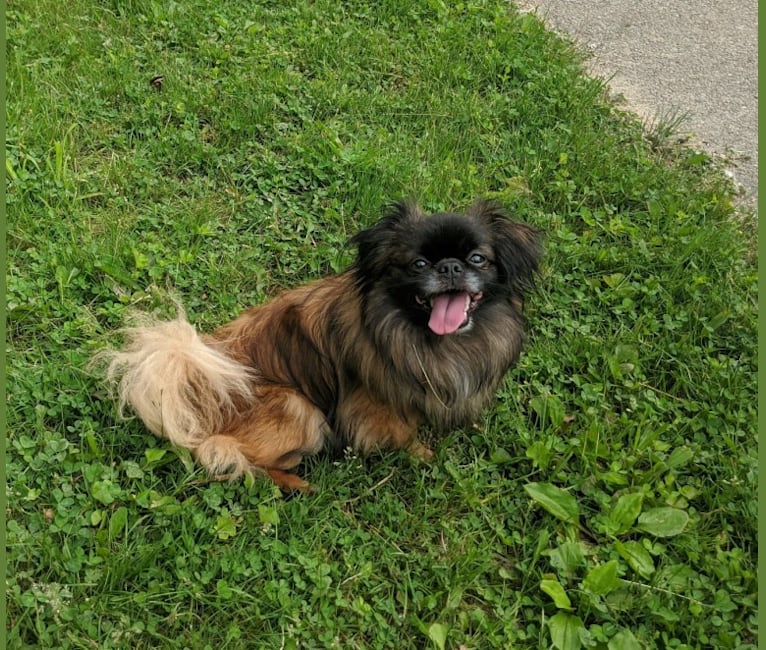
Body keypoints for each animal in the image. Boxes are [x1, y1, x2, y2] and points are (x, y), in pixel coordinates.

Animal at [102, 200, 544, 488]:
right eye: (418, 264)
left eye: (477, 259)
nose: (450, 267)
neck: (428, 337)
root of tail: (200, 392)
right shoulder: (377, 407)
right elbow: (403, 435)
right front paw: (425, 456)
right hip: (299, 409)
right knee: (227, 455)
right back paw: (298, 483)